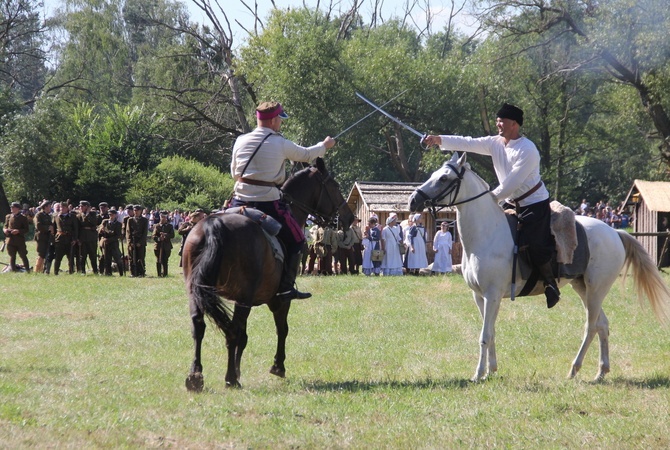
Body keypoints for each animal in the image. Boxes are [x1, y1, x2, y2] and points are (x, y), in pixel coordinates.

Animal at [181, 159, 354, 390]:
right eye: (334, 186)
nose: (349, 217)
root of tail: (213, 225)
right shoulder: (279, 301)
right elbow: (282, 329)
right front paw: (277, 366)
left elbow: (244, 336)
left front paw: (239, 370)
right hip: (243, 298)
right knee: (232, 331)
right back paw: (230, 379)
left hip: (197, 293)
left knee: (199, 326)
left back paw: (196, 376)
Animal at [410, 153, 670, 382]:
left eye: (444, 178)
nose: (414, 200)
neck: (487, 233)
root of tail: (614, 233)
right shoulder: (479, 296)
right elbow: (490, 332)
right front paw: (491, 370)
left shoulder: (492, 295)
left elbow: (485, 335)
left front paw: (478, 374)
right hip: (583, 288)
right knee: (603, 326)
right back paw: (601, 372)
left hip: (596, 290)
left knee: (591, 327)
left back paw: (574, 369)